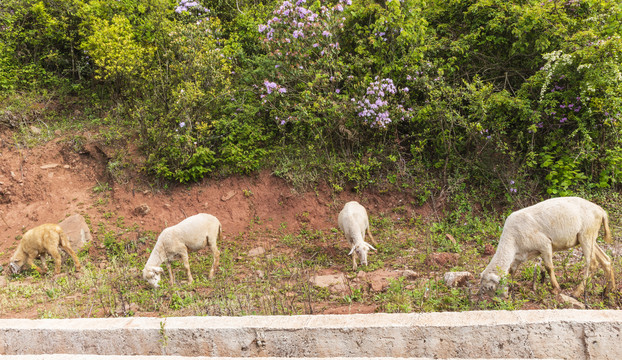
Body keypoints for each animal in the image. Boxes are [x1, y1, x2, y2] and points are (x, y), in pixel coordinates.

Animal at [480, 197, 616, 298]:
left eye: (490, 287)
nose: (500, 300)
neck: (511, 240)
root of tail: (600, 210)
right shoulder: (520, 255)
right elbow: (512, 270)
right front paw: (512, 285)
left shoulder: (544, 244)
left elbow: (548, 267)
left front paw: (556, 289)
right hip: (591, 236)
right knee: (606, 260)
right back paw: (609, 291)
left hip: (586, 234)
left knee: (592, 263)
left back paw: (577, 292)